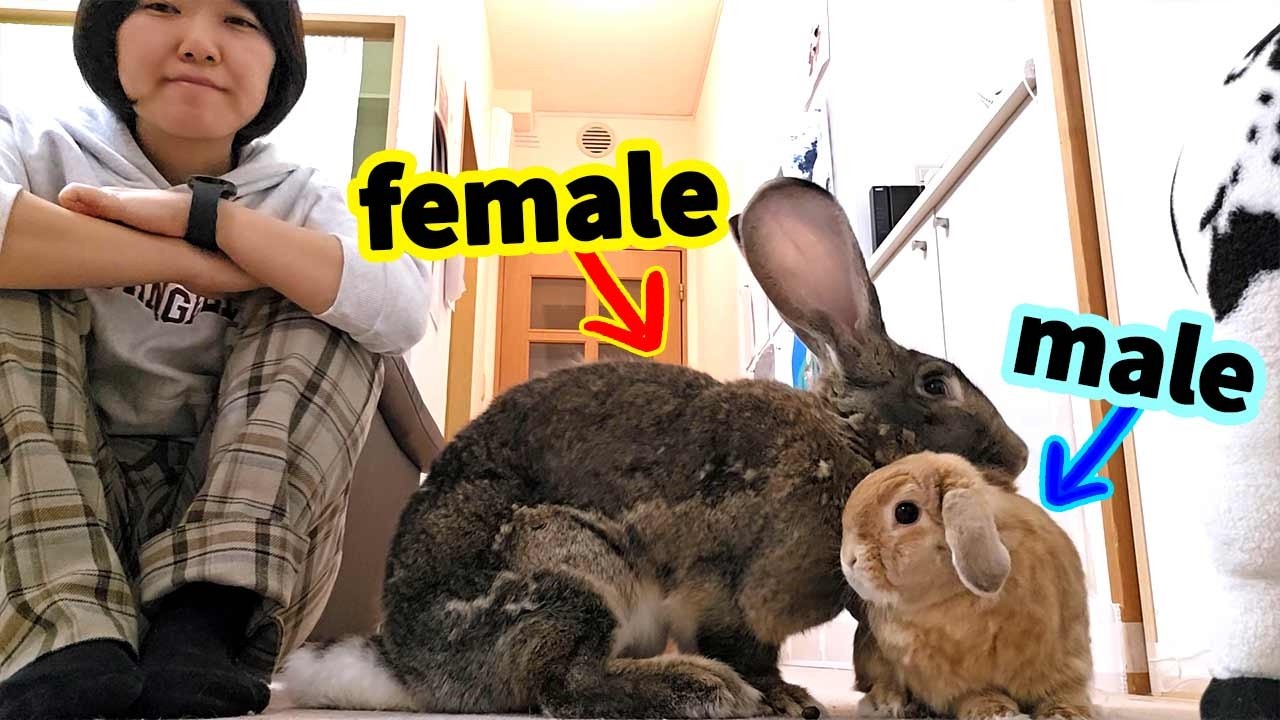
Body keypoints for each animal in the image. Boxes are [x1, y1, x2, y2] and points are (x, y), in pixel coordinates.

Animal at [279, 176, 1030, 718]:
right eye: (936, 384)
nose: (1020, 457)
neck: (850, 443)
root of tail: (404, 667)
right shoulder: (733, 591)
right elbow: (745, 648)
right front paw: (785, 700)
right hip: (567, 572)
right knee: (563, 688)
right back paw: (700, 689)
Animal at [841, 451, 1093, 720]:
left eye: (905, 512)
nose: (848, 560)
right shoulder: (954, 685)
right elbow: (979, 696)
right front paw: (1000, 713)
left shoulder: (1066, 663)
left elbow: (1066, 695)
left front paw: (1065, 714)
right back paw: (889, 705)